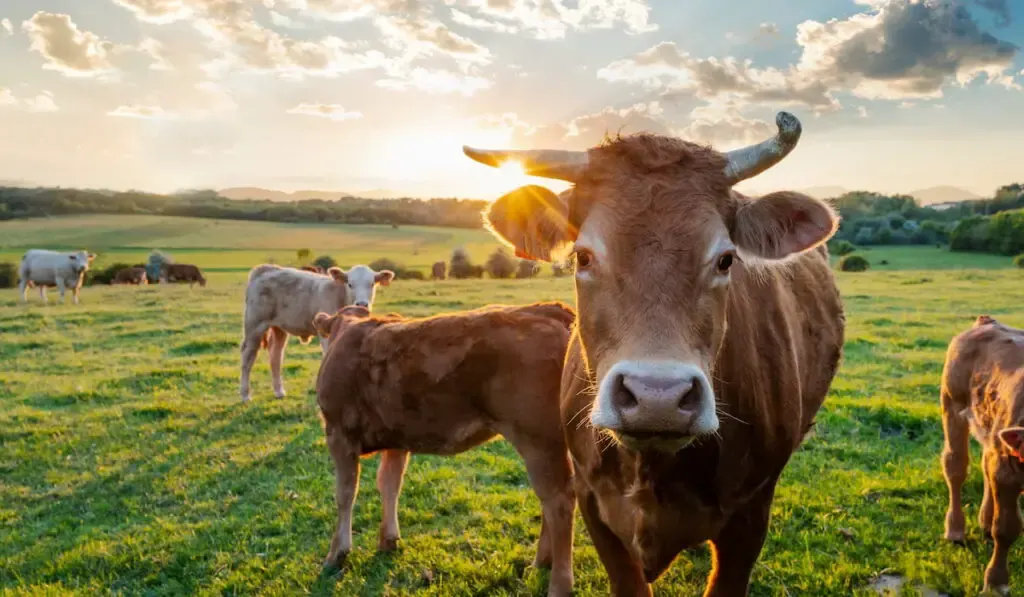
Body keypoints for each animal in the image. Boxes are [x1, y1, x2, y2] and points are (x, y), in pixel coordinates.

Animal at [237, 264, 393, 403]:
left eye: (371, 284)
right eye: (350, 284)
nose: (361, 304)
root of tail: (265, 269)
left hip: (279, 328)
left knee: (275, 356)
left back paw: (279, 391)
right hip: (254, 325)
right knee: (248, 356)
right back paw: (245, 395)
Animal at [311, 303, 581, 597]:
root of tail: (544, 309)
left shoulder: (338, 433)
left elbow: (345, 493)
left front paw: (336, 554)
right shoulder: (396, 440)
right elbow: (389, 484)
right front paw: (388, 540)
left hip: (538, 440)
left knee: (558, 501)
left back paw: (559, 583)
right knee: (549, 500)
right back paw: (541, 563)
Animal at [942, 315, 1024, 593]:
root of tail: (987, 322)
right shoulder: (1009, 471)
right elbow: (1007, 528)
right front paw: (996, 582)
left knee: (986, 466)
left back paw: (985, 521)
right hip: (952, 405)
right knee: (955, 467)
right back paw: (955, 530)